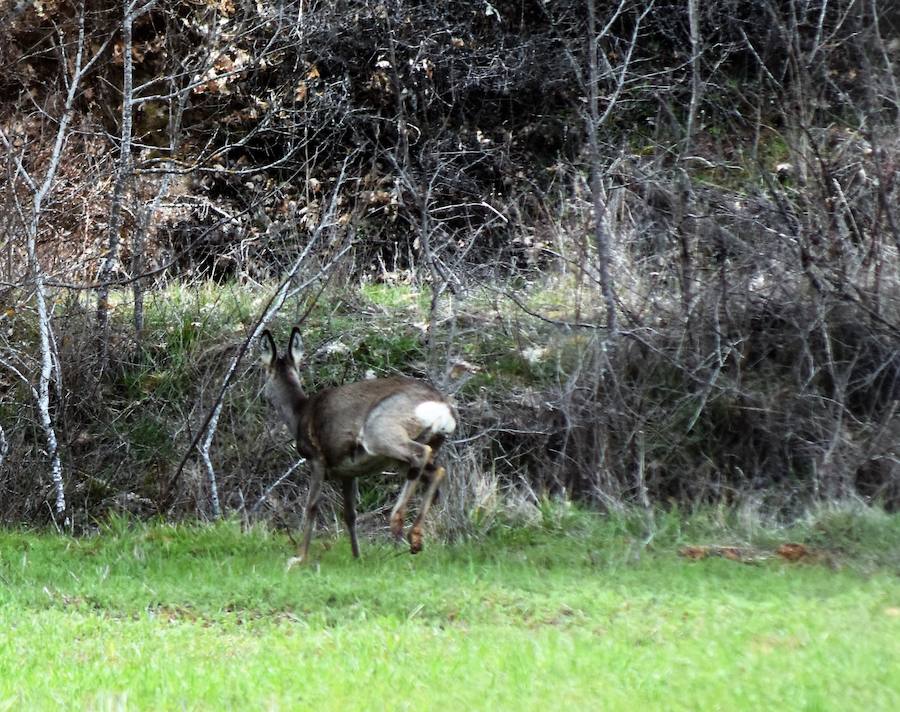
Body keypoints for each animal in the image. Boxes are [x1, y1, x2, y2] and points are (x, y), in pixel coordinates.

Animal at [260, 328, 458, 568]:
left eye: (265, 373)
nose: (263, 395)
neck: (299, 414)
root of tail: (442, 406)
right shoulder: (348, 471)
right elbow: (350, 514)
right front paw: (357, 557)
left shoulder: (317, 458)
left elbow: (311, 506)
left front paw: (299, 558)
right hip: (417, 447)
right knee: (436, 470)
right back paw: (415, 538)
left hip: (379, 431)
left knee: (420, 454)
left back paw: (397, 520)